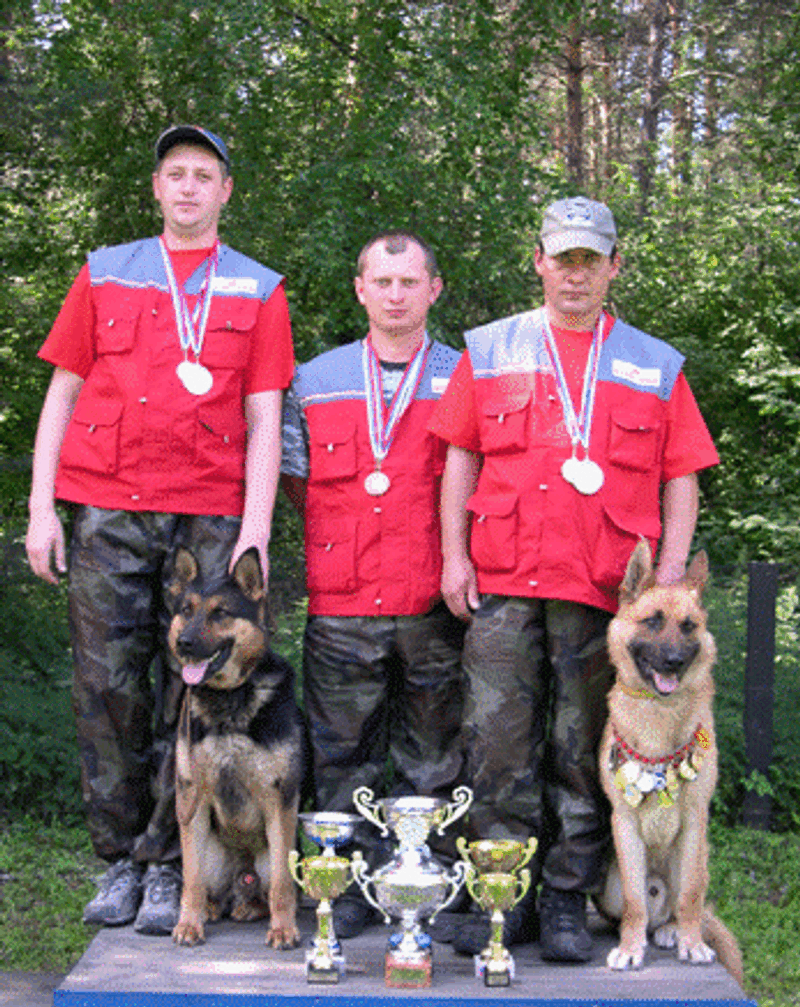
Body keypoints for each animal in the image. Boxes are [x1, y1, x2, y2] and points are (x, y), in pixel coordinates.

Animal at [167, 546, 304, 949]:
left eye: (221, 613)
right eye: (186, 610)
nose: (183, 644)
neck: (230, 699)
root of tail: (241, 878)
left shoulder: (280, 802)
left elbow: (281, 886)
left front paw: (284, 929)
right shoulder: (191, 802)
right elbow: (191, 880)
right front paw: (189, 924)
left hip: (273, 855)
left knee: (266, 890)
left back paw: (251, 908)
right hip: (209, 852)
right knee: (205, 885)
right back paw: (211, 910)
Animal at [597, 540, 743, 985]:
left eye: (689, 626)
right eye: (652, 621)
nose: (676, 660)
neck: (659, 714)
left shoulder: (695, 821)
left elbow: (691, 896)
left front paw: (692, 943)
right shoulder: (624, 826)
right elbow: (634, 903)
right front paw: (630, 949)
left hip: (697, 857)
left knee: (679, 904)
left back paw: (674, 930)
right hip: (610, 883)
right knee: (643, 910)